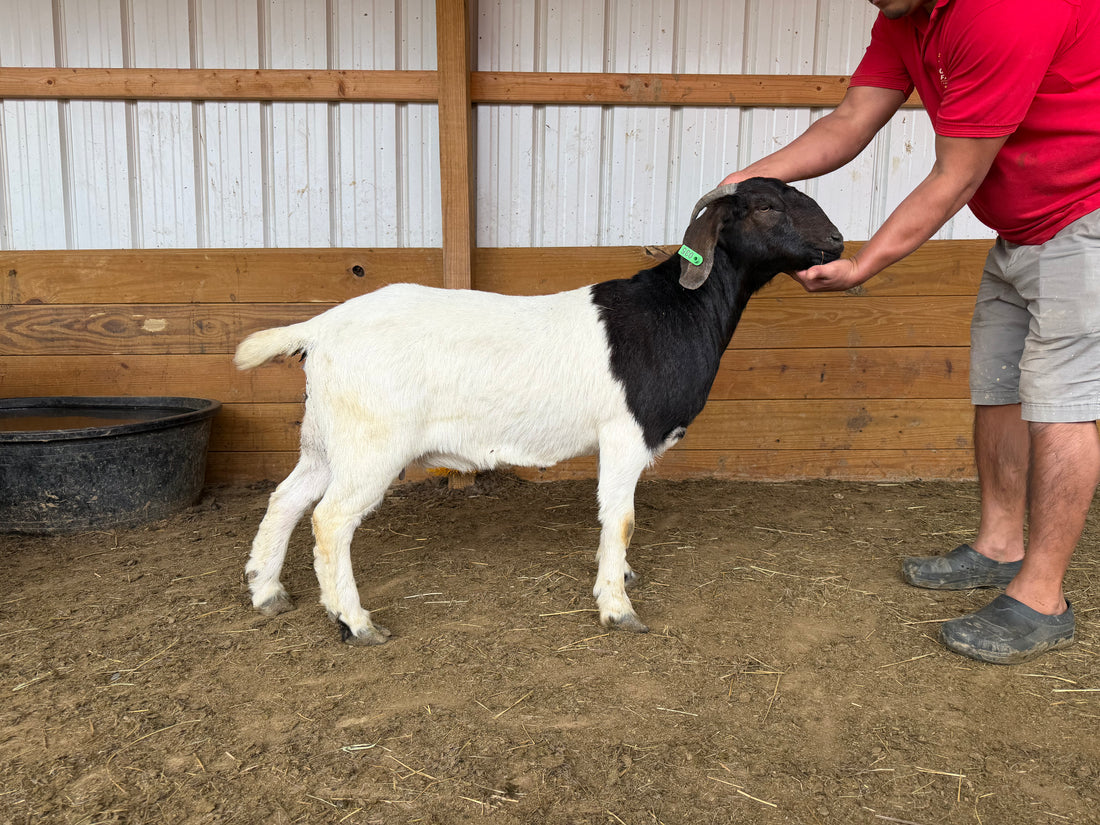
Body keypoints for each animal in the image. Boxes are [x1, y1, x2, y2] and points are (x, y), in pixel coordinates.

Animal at [234, 177, 844, 645]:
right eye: (765, 206)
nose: (837, 242)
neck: (677, 310)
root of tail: (322, 327)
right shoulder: (625, 434)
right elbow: (620, 517)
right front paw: (617, 607)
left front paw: (621, 578)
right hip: (371, 443)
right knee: (331, 519)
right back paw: (355, 622)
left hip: (325, 438)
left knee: (286, 499)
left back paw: (267, 590)